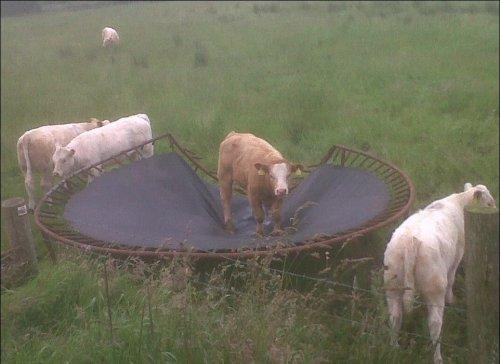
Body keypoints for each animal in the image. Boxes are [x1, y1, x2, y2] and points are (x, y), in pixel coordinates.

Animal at [382, 183, 496, 364]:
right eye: (489, 204)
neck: (460, 202)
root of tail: (410, 242)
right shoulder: (457, 256)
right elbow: (452, 279)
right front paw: (452, 300)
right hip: (434, 287)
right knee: (435, 324)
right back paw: (437, 357)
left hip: (392, 284)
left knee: (395, 317)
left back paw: (394, 348)